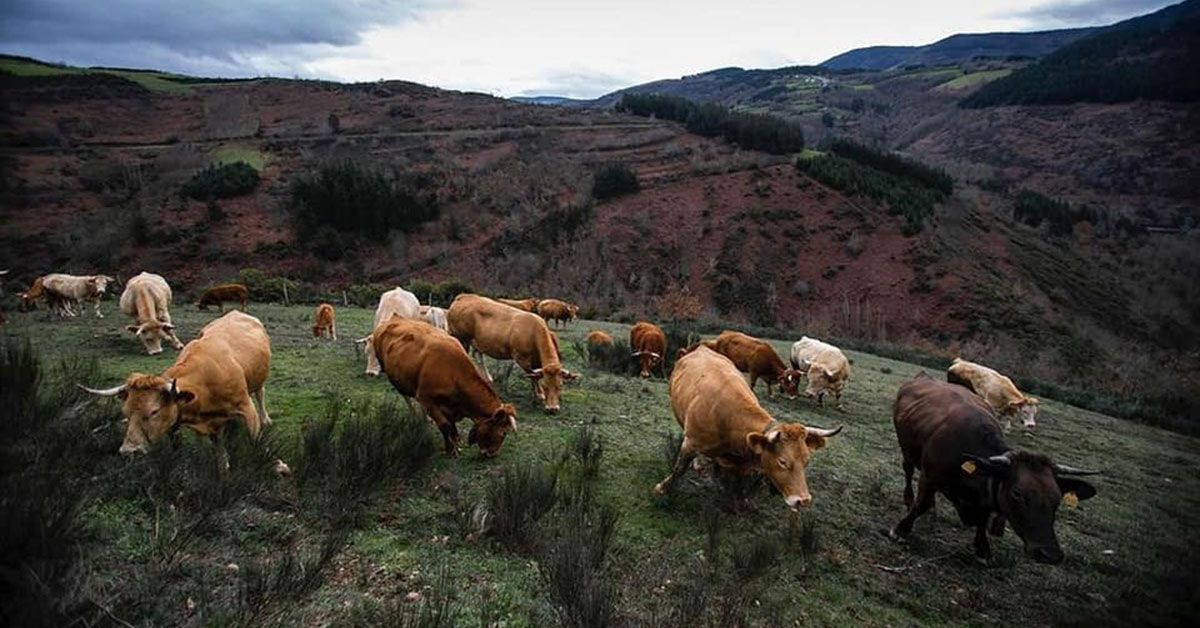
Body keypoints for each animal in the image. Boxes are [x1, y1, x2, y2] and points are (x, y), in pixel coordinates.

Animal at [81, 309, 273, 470]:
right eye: (126, 412)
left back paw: (266, 419)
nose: (129, 451)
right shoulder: (186, 424)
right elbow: (219, 455)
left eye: (154, 411)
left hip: (259, 381)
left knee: (260, 393)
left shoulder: (247, 410)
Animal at [374, 314, 516, 456]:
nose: (492, 454)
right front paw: (450, 449)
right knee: (406, 397)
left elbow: (451, 423)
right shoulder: (428, 400)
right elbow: (445, 425)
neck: (454, 373)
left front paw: (456, 440)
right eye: (504, 433)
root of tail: (396, 317)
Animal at [451, 294, 580, 415]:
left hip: (477, 342)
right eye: (545, 386)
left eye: (560, 386)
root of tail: (464, 296)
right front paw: (539, 394)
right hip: (461, 338)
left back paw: (487, 378)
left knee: (478, 357)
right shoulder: (521, 359)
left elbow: (535, 376)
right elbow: (532, 377)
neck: (533, 333)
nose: (552, 409)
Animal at [657, 343, 844, 511]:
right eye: (782, 461)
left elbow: (738, 484)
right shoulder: (690, 444)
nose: (803, 500)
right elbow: (679, 469)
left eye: (806, 461)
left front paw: (740, 502)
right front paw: (662, 488)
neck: (729, 419)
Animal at [888, 374, 1099, 564]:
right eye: (1017, 493)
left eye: (1057, 499)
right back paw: (909, 498)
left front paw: (983, 549)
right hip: (907, 451)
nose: (1050, 554)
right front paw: (901, 529)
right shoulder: (929, 475)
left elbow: (983, 519)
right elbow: (920, 505)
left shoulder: (986, 497)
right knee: (908, 473)